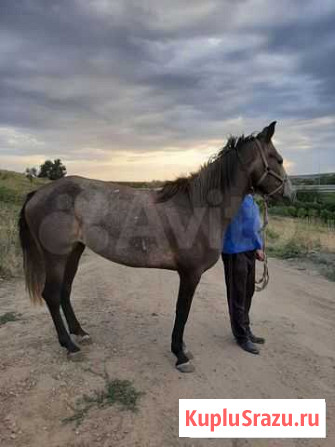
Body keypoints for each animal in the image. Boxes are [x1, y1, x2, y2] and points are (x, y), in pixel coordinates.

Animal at [19, 121, 294, 372]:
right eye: (278, 159)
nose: (291, 194)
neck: (199, 207)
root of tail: (37, 194)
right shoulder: (190, 274)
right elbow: (182, 311)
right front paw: (180, 355)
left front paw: (182, 350)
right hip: (56, 256)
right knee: (51, 295)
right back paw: (70, 346)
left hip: (74, 251)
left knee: (65, 291)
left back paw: (80, 333)